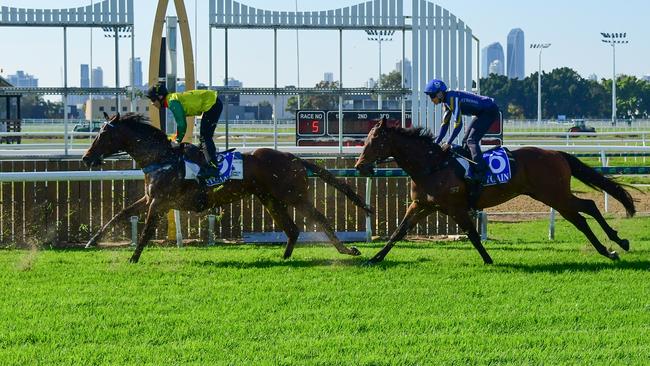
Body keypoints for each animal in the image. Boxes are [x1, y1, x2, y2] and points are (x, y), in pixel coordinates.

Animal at [83, 113, 372, 262]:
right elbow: (119, 214)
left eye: (103, 135)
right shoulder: (150, 198)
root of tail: (293, 156)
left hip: (294, 195)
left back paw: (347, 250)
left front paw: (133, 258)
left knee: (320, 219)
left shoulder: (160, 202)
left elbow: (144, 232)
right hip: (269, 198)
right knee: (292, 228)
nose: (86, 157)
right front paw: (92, 240)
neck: (162, 159)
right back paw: (284, 257)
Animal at [354, 118, 632, 264]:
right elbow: (399, 232)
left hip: (554, 194)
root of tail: (556, 153)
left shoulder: (455, 207)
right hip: (551, 195)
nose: (359, 166)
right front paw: (375, 258)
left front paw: (488, 260)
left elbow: (473, 235)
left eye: (376, 141)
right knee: (585, 211)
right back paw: (612, 246)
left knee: (584, 214)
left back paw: (614, 245)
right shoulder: (423, 205)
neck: (432, 165)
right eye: (365, 140)